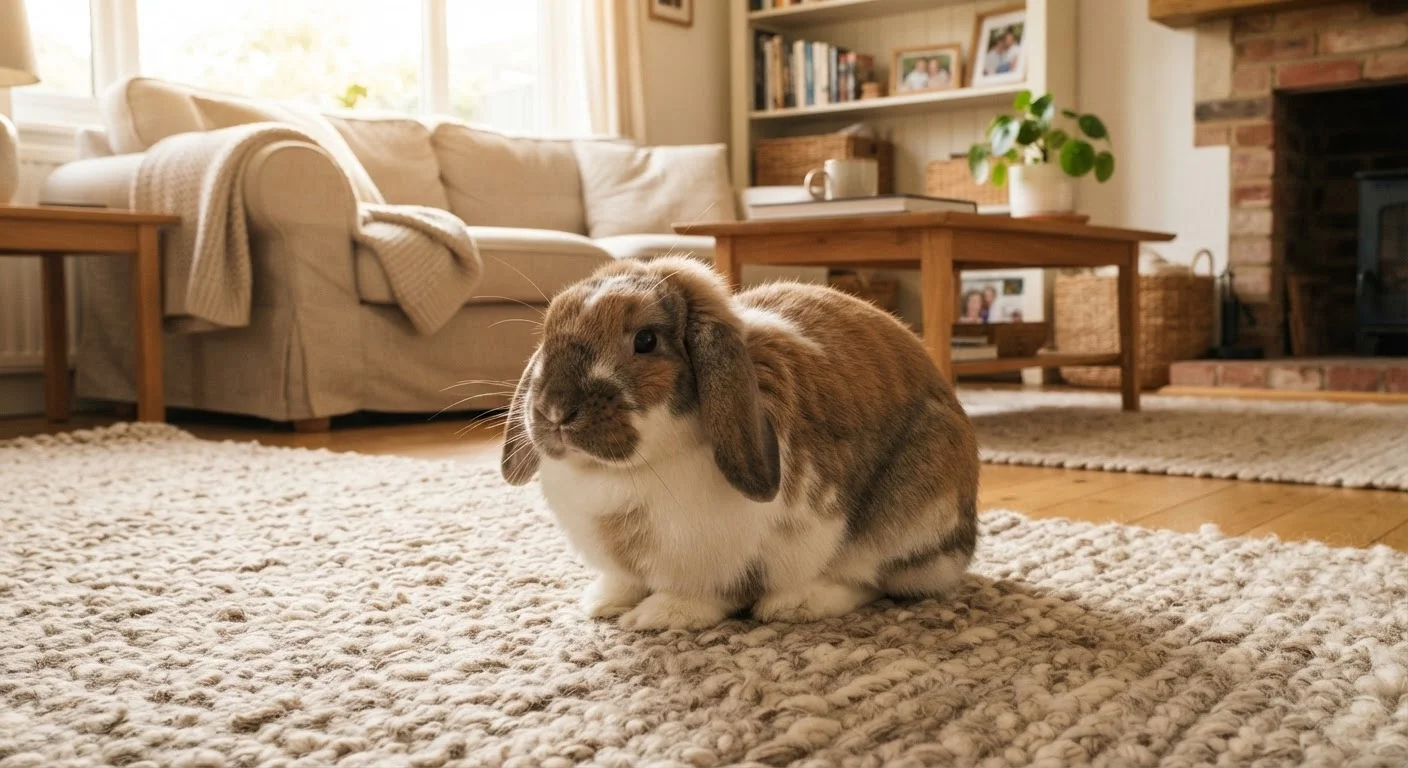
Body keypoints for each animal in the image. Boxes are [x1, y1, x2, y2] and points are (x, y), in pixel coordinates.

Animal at [500, 255, 979, 630]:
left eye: (645, 340)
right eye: (548, 331)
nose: (555, 411)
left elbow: (714, 592)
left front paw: (659, 615)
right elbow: (626, 581)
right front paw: (604, 602)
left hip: (908, 512)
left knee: (872, 578)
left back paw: (795, 604)